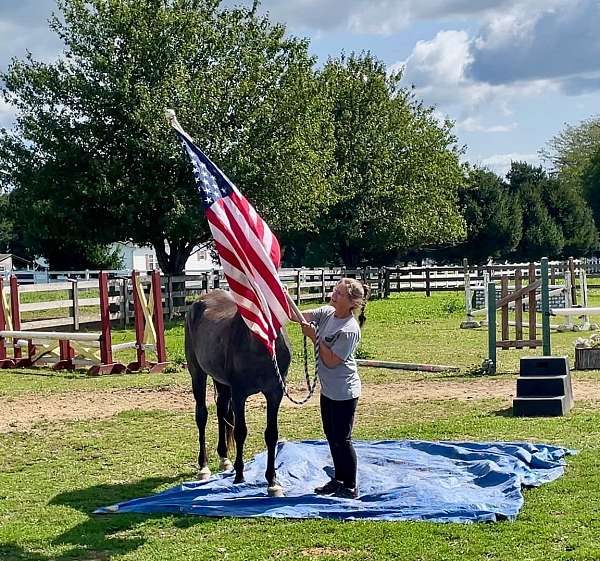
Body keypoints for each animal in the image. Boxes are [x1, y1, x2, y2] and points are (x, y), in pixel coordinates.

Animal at [185, 288, 292, 494]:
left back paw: (224, 459)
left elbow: (271, 434)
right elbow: (240, 431)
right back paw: (204, 467)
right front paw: (240, 475)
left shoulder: (275, 394)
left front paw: (272, 481)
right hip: (197, 373)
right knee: (202, 415)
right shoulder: (239, 394)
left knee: (221, 411)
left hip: (221, 382)